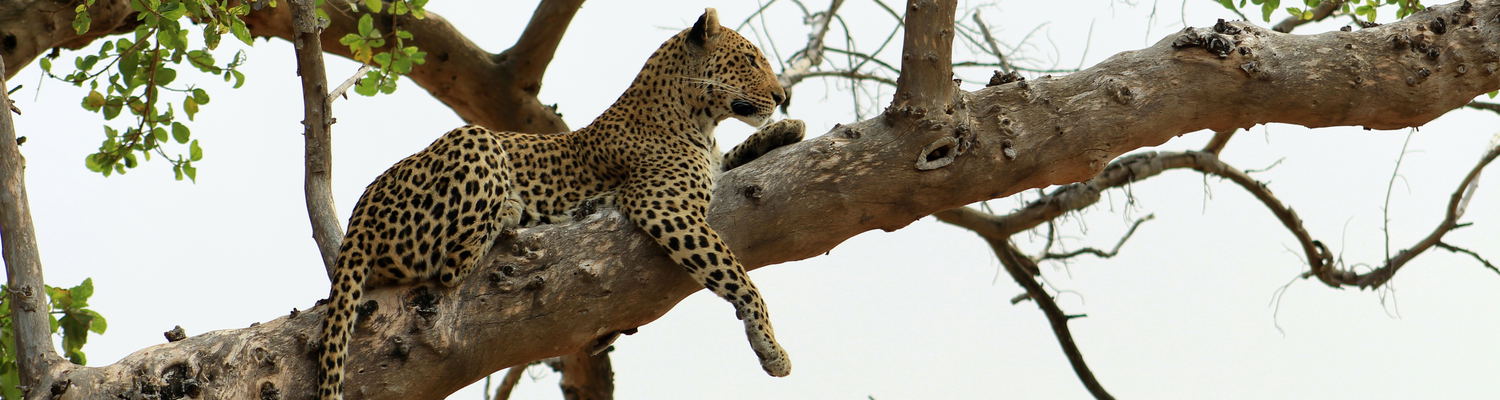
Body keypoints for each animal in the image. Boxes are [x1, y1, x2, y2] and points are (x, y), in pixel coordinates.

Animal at [317, 8, 803, 399]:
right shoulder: (662, 205)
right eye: (750, 60)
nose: (782, 97)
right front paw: (771, 348)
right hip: (475, 136)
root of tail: (360, 215)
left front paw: (788, 128)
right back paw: (511, 209)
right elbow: (737, 275)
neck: (698, 120)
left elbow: (733, 158)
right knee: (451, 266)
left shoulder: (708, 173)